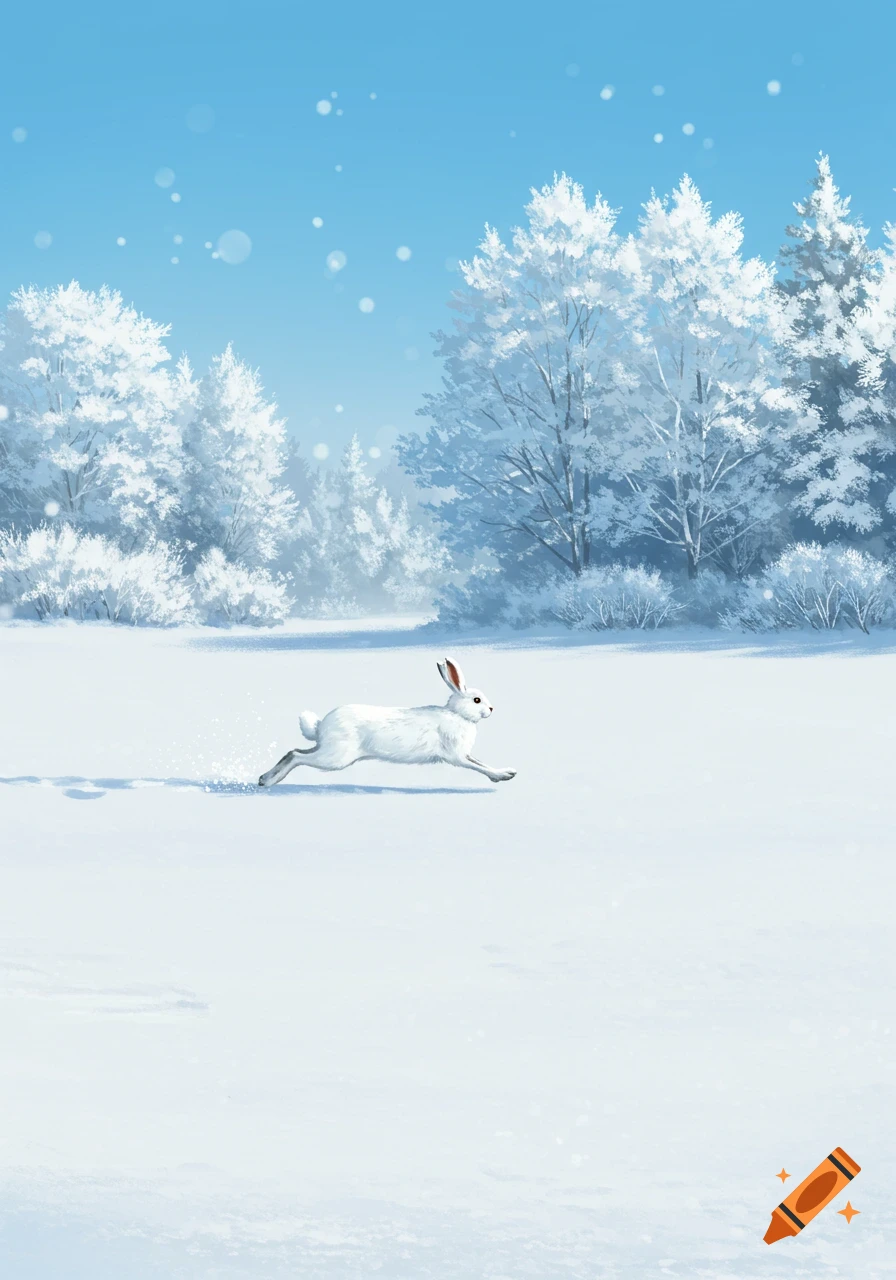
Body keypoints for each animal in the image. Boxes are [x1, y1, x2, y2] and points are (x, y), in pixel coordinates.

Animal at [258, 657, 517, 787]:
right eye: (476, 700)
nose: (491, 709)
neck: (457, 714)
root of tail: (321, 726)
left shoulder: (464, 754)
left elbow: (481, 762)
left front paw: (506, 772)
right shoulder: (456, 755)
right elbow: (478, 766)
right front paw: (503, 776)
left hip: (329, 752)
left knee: (294, 752)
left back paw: (264, 779)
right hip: (336, 758)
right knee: (296, 756)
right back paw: (270, 782)